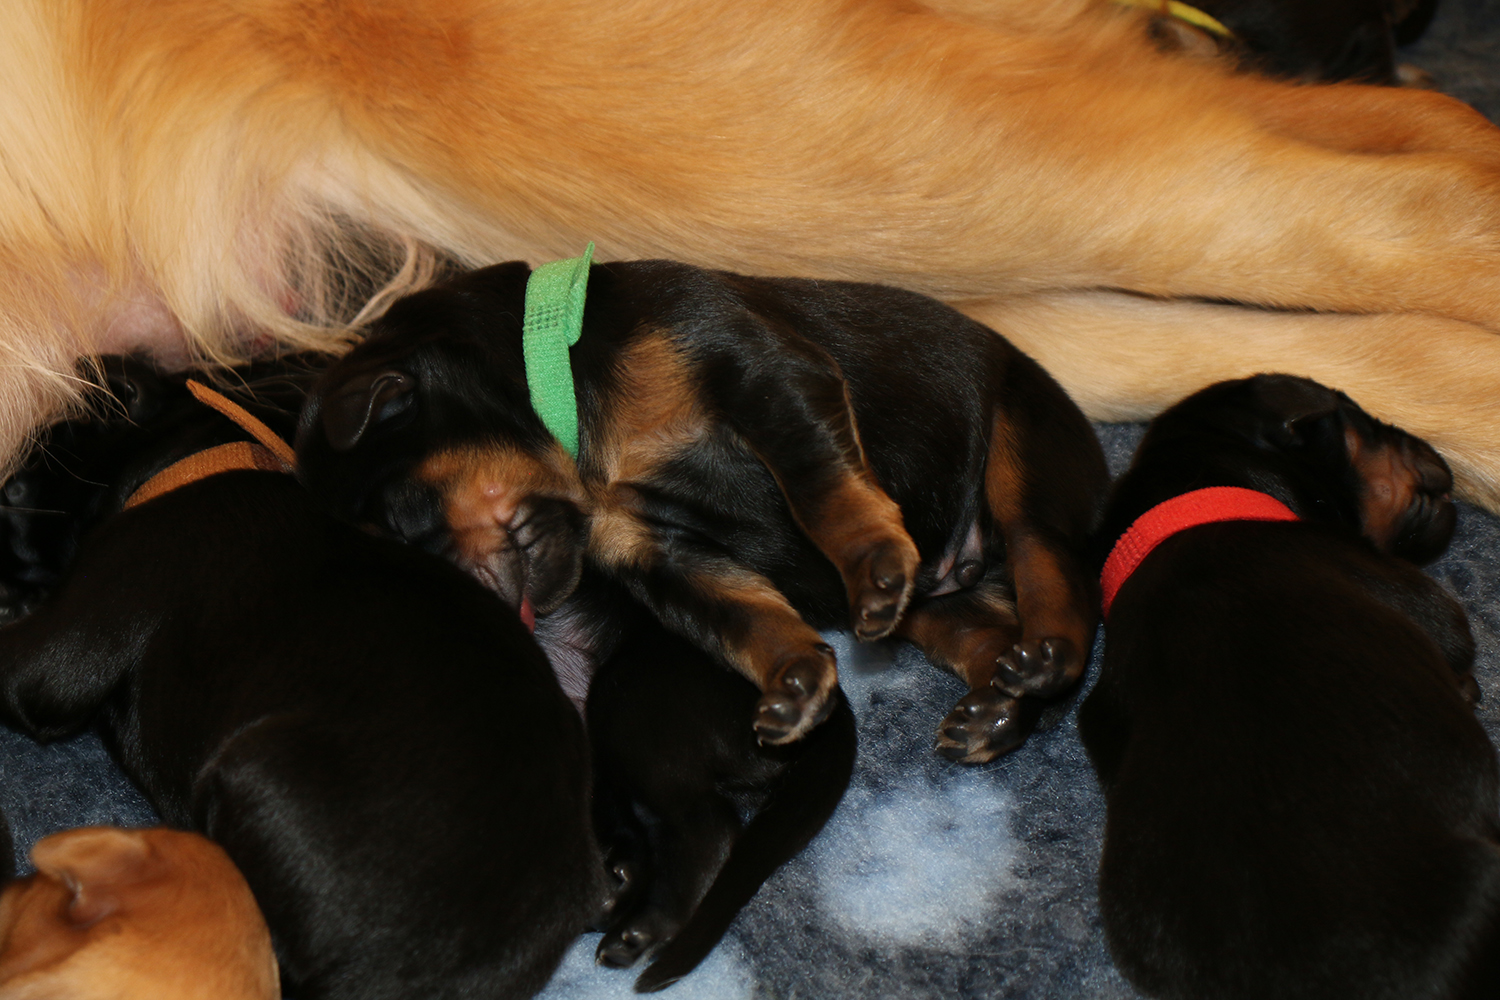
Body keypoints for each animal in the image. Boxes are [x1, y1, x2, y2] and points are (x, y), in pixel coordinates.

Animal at [295, 259, 1109, 762]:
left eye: (404, 523)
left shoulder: (764, 377)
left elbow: (820, 485)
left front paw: (871, 560)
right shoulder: (659, 553)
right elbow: (745, 616)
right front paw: (795, 682)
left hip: (1023, 450)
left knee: (1052, 571)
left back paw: (1046, 656)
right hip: (942, 607)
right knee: (987, 635)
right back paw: (995, 706)